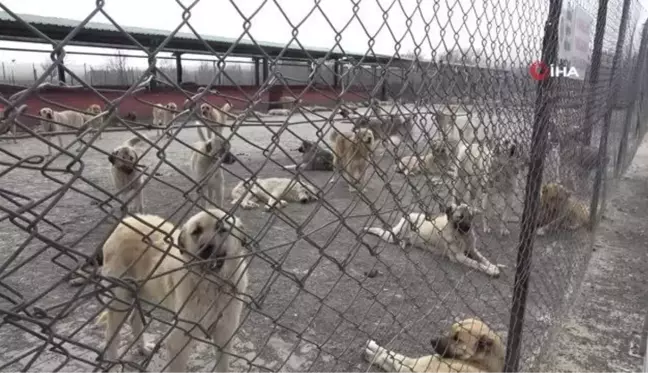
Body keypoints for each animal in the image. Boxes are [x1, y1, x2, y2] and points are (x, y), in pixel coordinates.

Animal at [100, 206, 249, 372]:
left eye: (222, 229)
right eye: (196, 231)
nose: (206, 248)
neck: (212, 286)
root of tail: (126, 221)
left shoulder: (225, 337)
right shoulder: (178, 341)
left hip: (145, 293)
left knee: (134, 320)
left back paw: (143, 348)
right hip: (120, 301)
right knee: (110, 335)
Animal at [364, 201, 502, 276]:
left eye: (470, 216)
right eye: (460, 217)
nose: (468, 228)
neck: (461, 236)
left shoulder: (472, 250)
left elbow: (483, 259)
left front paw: (492, 266)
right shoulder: (458, 256)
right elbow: (476, 263)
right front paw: (490, 271)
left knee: (403, 240)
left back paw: (403, 244)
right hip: (394, 234)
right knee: (383, 232)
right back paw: (368, 228)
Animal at [364, 316, 506, 372]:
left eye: (457, 339)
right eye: (450, 331)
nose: (432, 340)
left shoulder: (416, 365)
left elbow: (395, 358)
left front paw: (375, 353)